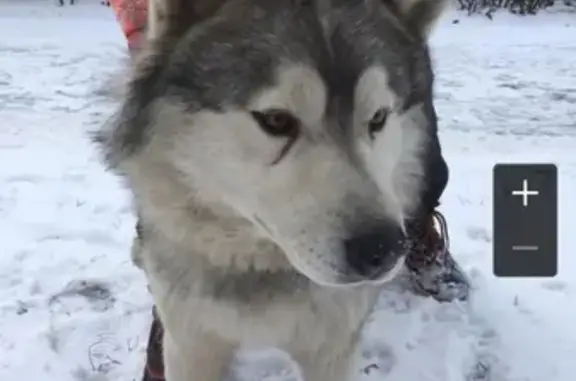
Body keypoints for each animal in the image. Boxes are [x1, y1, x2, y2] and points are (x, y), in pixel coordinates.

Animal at [99, 0, 448, 378]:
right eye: (276, 120)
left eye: (379, 118)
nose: (382, 248)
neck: (261, 269)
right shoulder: (190, 342)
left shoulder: (334, 348)